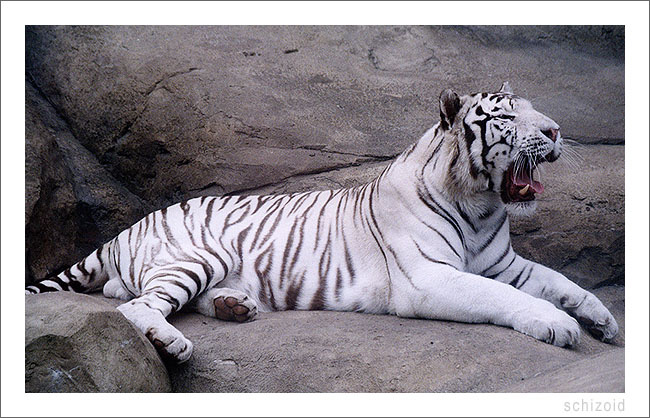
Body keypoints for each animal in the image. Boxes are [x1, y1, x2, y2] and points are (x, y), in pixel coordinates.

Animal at [26, 83, 619, 363]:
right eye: (507, 116)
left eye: (533, 110)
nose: (556, 131)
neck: (479, 203)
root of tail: (125, 230)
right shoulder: (428, 278)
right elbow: (507, 298)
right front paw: (559, 326)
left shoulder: (505, 264)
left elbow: (562, 282)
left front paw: (604, 321)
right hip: (196, 256)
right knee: (133, 305)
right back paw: (172, 342)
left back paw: (235, 306)